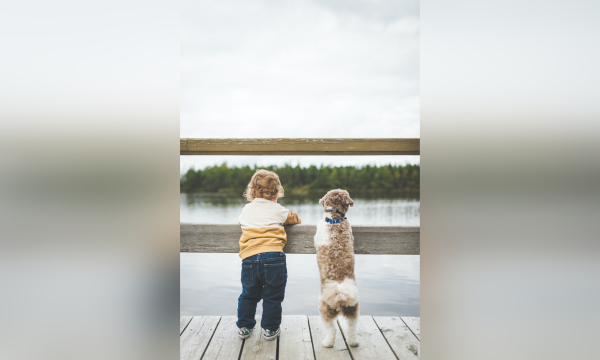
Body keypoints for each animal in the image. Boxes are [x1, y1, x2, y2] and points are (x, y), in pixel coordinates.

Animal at [312, 190, 358, 348]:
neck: (336, 219)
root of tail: (340, 295)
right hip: (352, 310)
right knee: (351, 328)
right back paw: (353, 342)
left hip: (324, 310)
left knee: (331, 330)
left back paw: (327, 343)